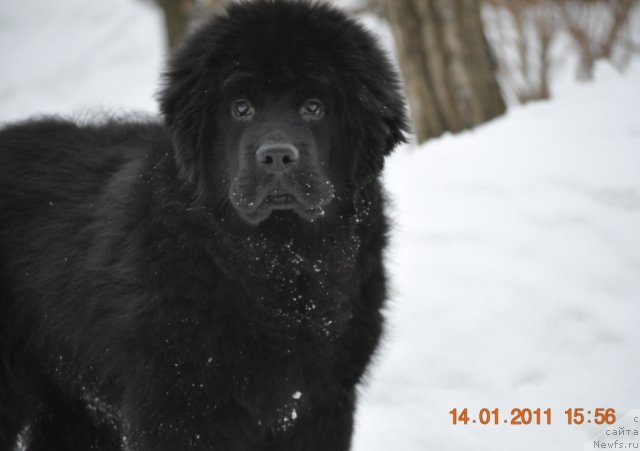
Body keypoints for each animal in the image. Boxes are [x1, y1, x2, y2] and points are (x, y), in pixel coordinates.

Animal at [0, 1, 408, 450]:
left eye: (313, 107)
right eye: (241, 107)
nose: (276, 157)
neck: (278, 264)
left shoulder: (323, 402)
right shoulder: (180, 409)